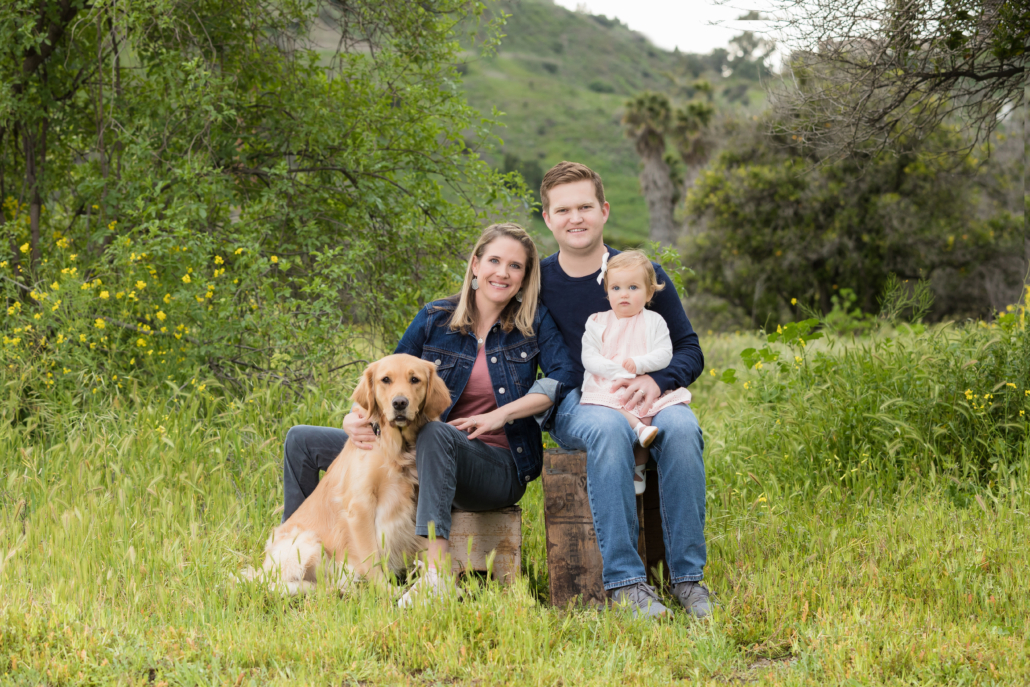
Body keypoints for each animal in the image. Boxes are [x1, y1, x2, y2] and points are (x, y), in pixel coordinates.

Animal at [243, 354, 453, 593]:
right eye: (386, 379)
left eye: (415, 379)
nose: (400, 403)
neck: (395, 447)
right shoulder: (360, 506)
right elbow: (372, 557)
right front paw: (387, 592)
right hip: (307, 543)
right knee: (279, 584)